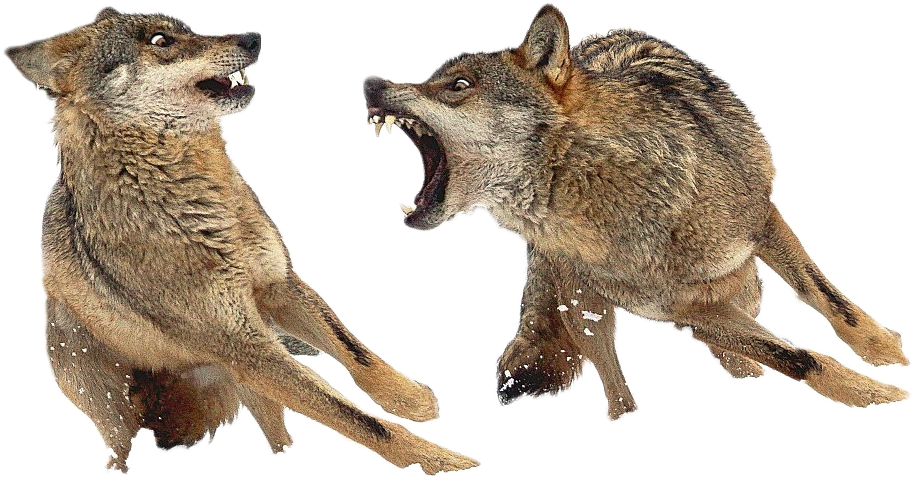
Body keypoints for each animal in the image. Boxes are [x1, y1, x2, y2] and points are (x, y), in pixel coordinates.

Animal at [7, 4, 481, 476]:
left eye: (187, 28)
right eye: (160, 41)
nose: (254, 37)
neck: (196, 197)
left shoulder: (280, 284)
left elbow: (357, 354)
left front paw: (413, 399)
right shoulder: (246, 346)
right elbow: (361, 420)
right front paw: (441, 459)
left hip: (247, 375)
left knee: (276, 426)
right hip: (112, 400)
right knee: (119, 445)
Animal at [361, 1, 912, 421]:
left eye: (457, 85)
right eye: (434, 78)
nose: (370, 83)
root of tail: (593, 39)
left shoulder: (761, 221)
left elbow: (828, 300)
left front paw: (886, 354)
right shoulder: (680, 310)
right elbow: (797, 357)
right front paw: (877, 396)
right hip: (585, 307)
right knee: (616, 384)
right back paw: (628, 417)